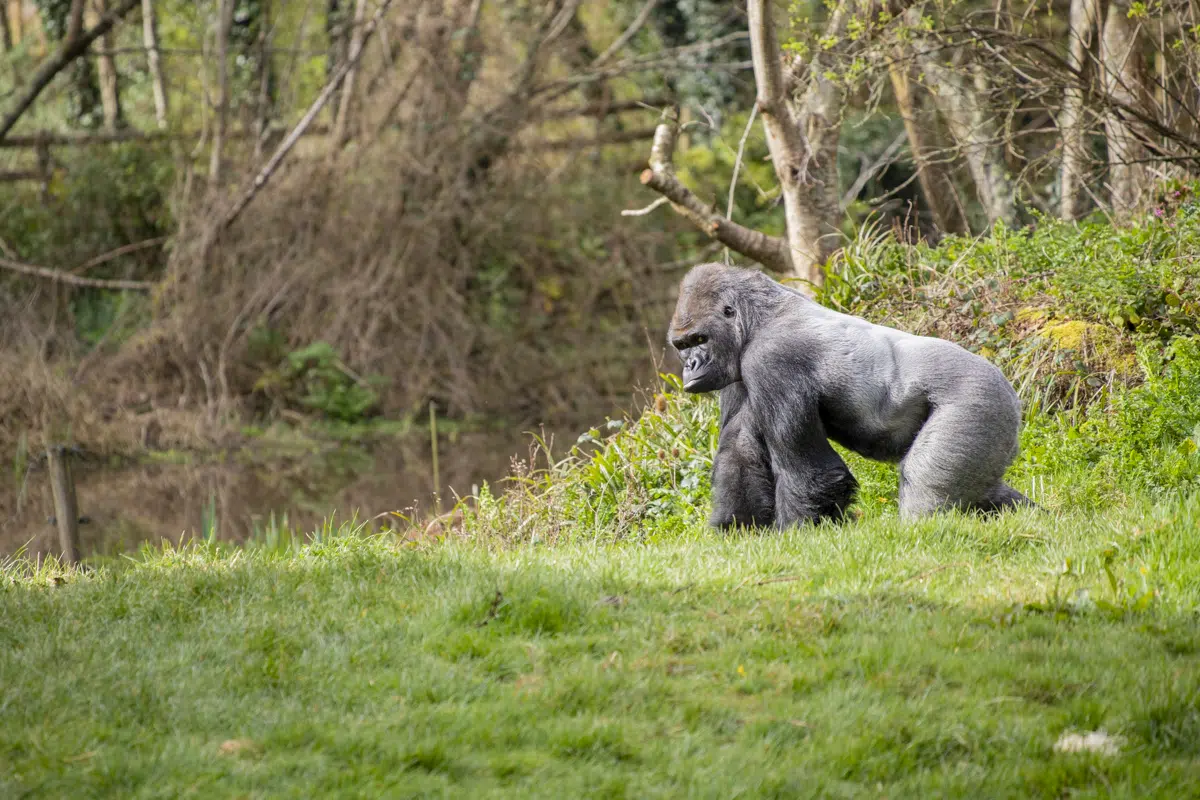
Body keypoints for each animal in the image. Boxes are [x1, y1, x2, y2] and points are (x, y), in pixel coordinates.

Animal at [672, 260, 1036, 532]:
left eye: (700, 339)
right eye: (682, 345)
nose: (690, 366)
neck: (761, 316)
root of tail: (1011, 393)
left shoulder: (771, 358)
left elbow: (809, 473)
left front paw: (797, 537)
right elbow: (740, 449)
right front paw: (735, 529)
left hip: (978, 399)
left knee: (925, 482)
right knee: (982, 488)